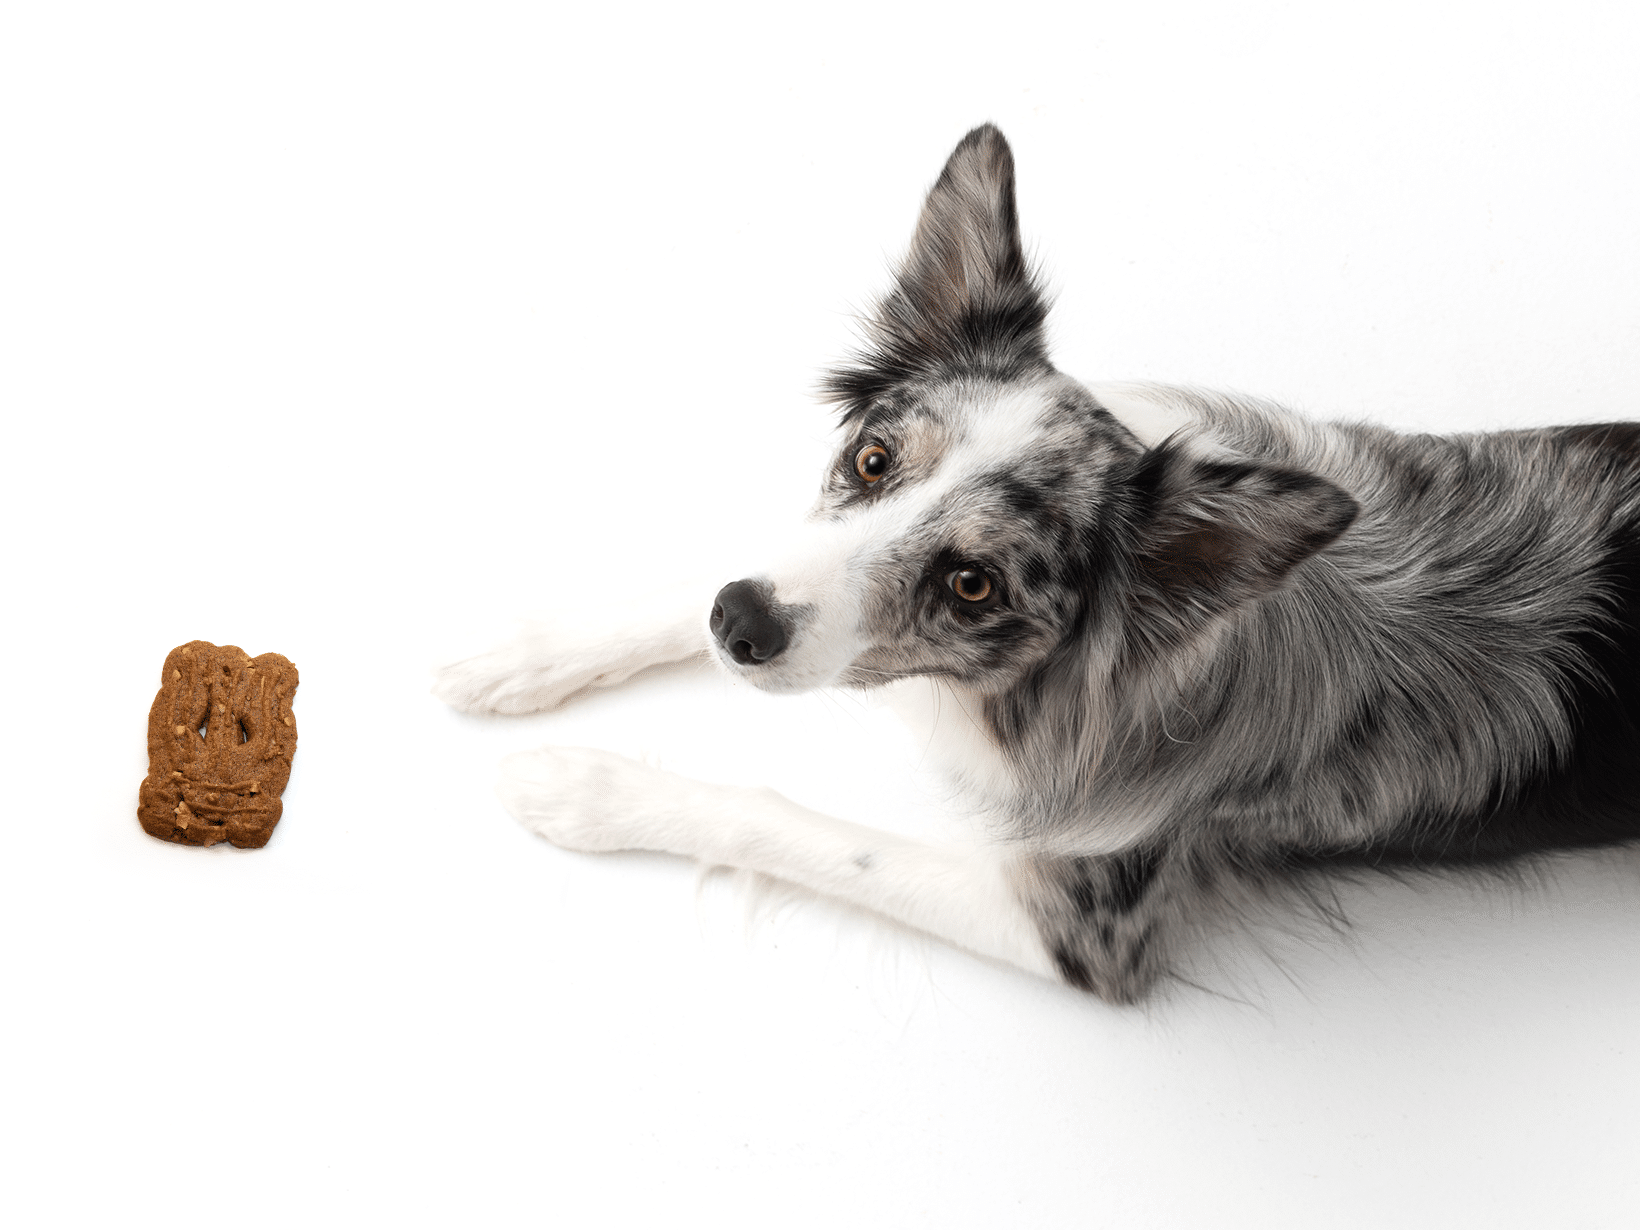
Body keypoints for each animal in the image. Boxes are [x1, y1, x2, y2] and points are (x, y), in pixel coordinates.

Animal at [436, 125, 1640, 1003]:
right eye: (871, 459)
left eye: (973, 585)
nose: (743, 629)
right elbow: (719, 569)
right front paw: (524, 657)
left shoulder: (1077, 920)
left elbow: (791, 824)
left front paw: (584, 786)